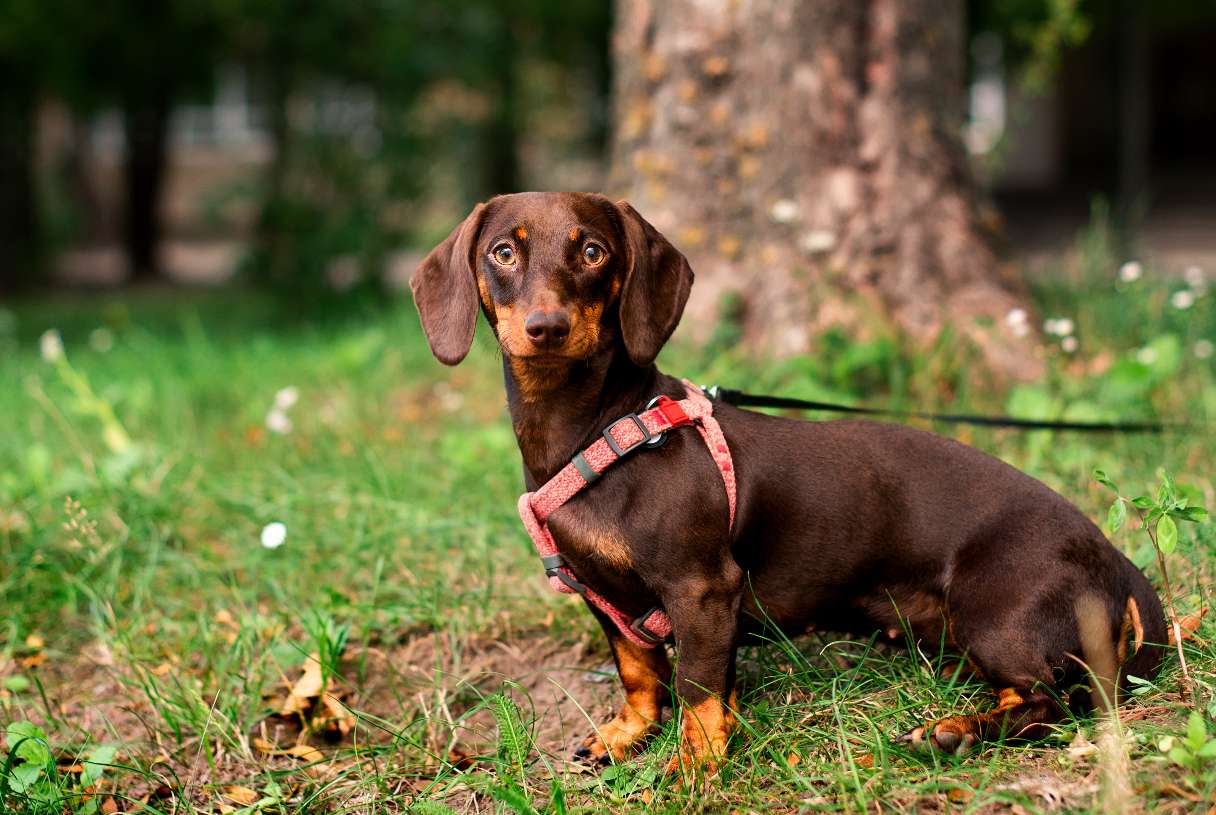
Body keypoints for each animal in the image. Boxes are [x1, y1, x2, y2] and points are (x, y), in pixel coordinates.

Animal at [411, 192, 1167, 778]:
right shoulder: (605, 596)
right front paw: (628, 734)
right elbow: (639, 670)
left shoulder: (701, 588)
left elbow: (697, 688)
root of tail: (1115, 557)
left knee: (1055, 702)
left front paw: (695, 764)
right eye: (503, 253)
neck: (597, 429)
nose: (546, 327)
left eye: (593, 251)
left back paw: (955, 730)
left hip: (994, 614)